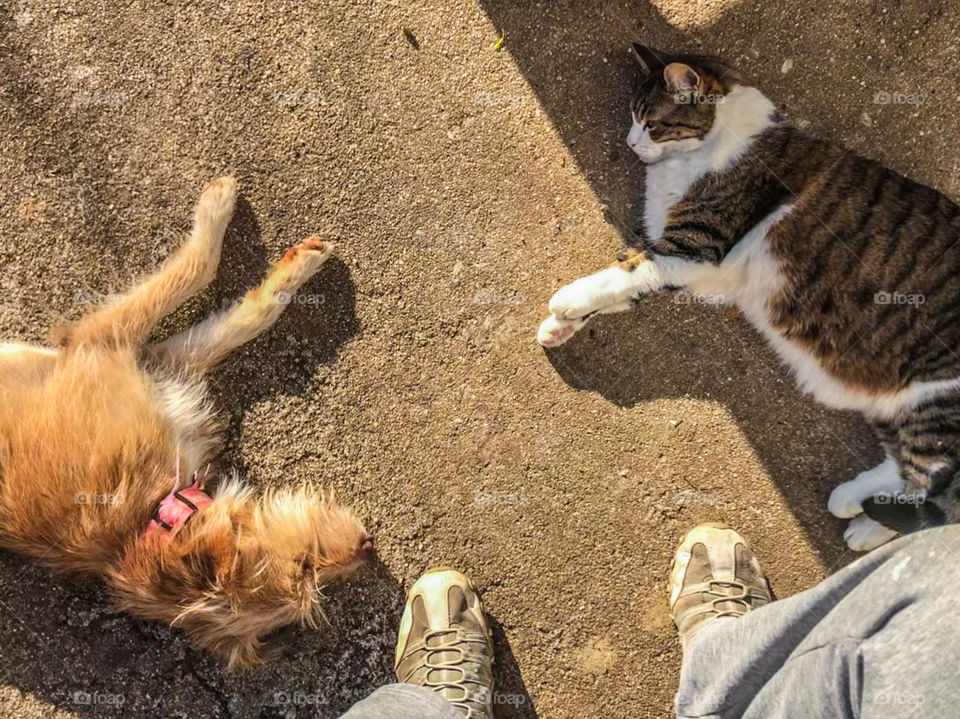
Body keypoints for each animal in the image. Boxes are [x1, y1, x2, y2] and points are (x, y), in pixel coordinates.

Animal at [0, 179, 374, 668]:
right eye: (306, 569)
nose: (368, 550)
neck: (148, 516)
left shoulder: (158, 367)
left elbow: (244, 318)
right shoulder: (100, 341)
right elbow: (197, 269)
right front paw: (218, 208)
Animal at [540, 43, 960, 552]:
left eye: (653, 123)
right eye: (632, 117)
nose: (630, 143)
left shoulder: (694, 248)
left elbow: (625, 272)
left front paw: (569, 298)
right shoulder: (685, 260)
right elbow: (629, 274)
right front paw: (560, 327)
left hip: (937, 402)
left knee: (935, 488)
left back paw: (866, 522)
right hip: (899, 408)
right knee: (909, 473)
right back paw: (855, 509)